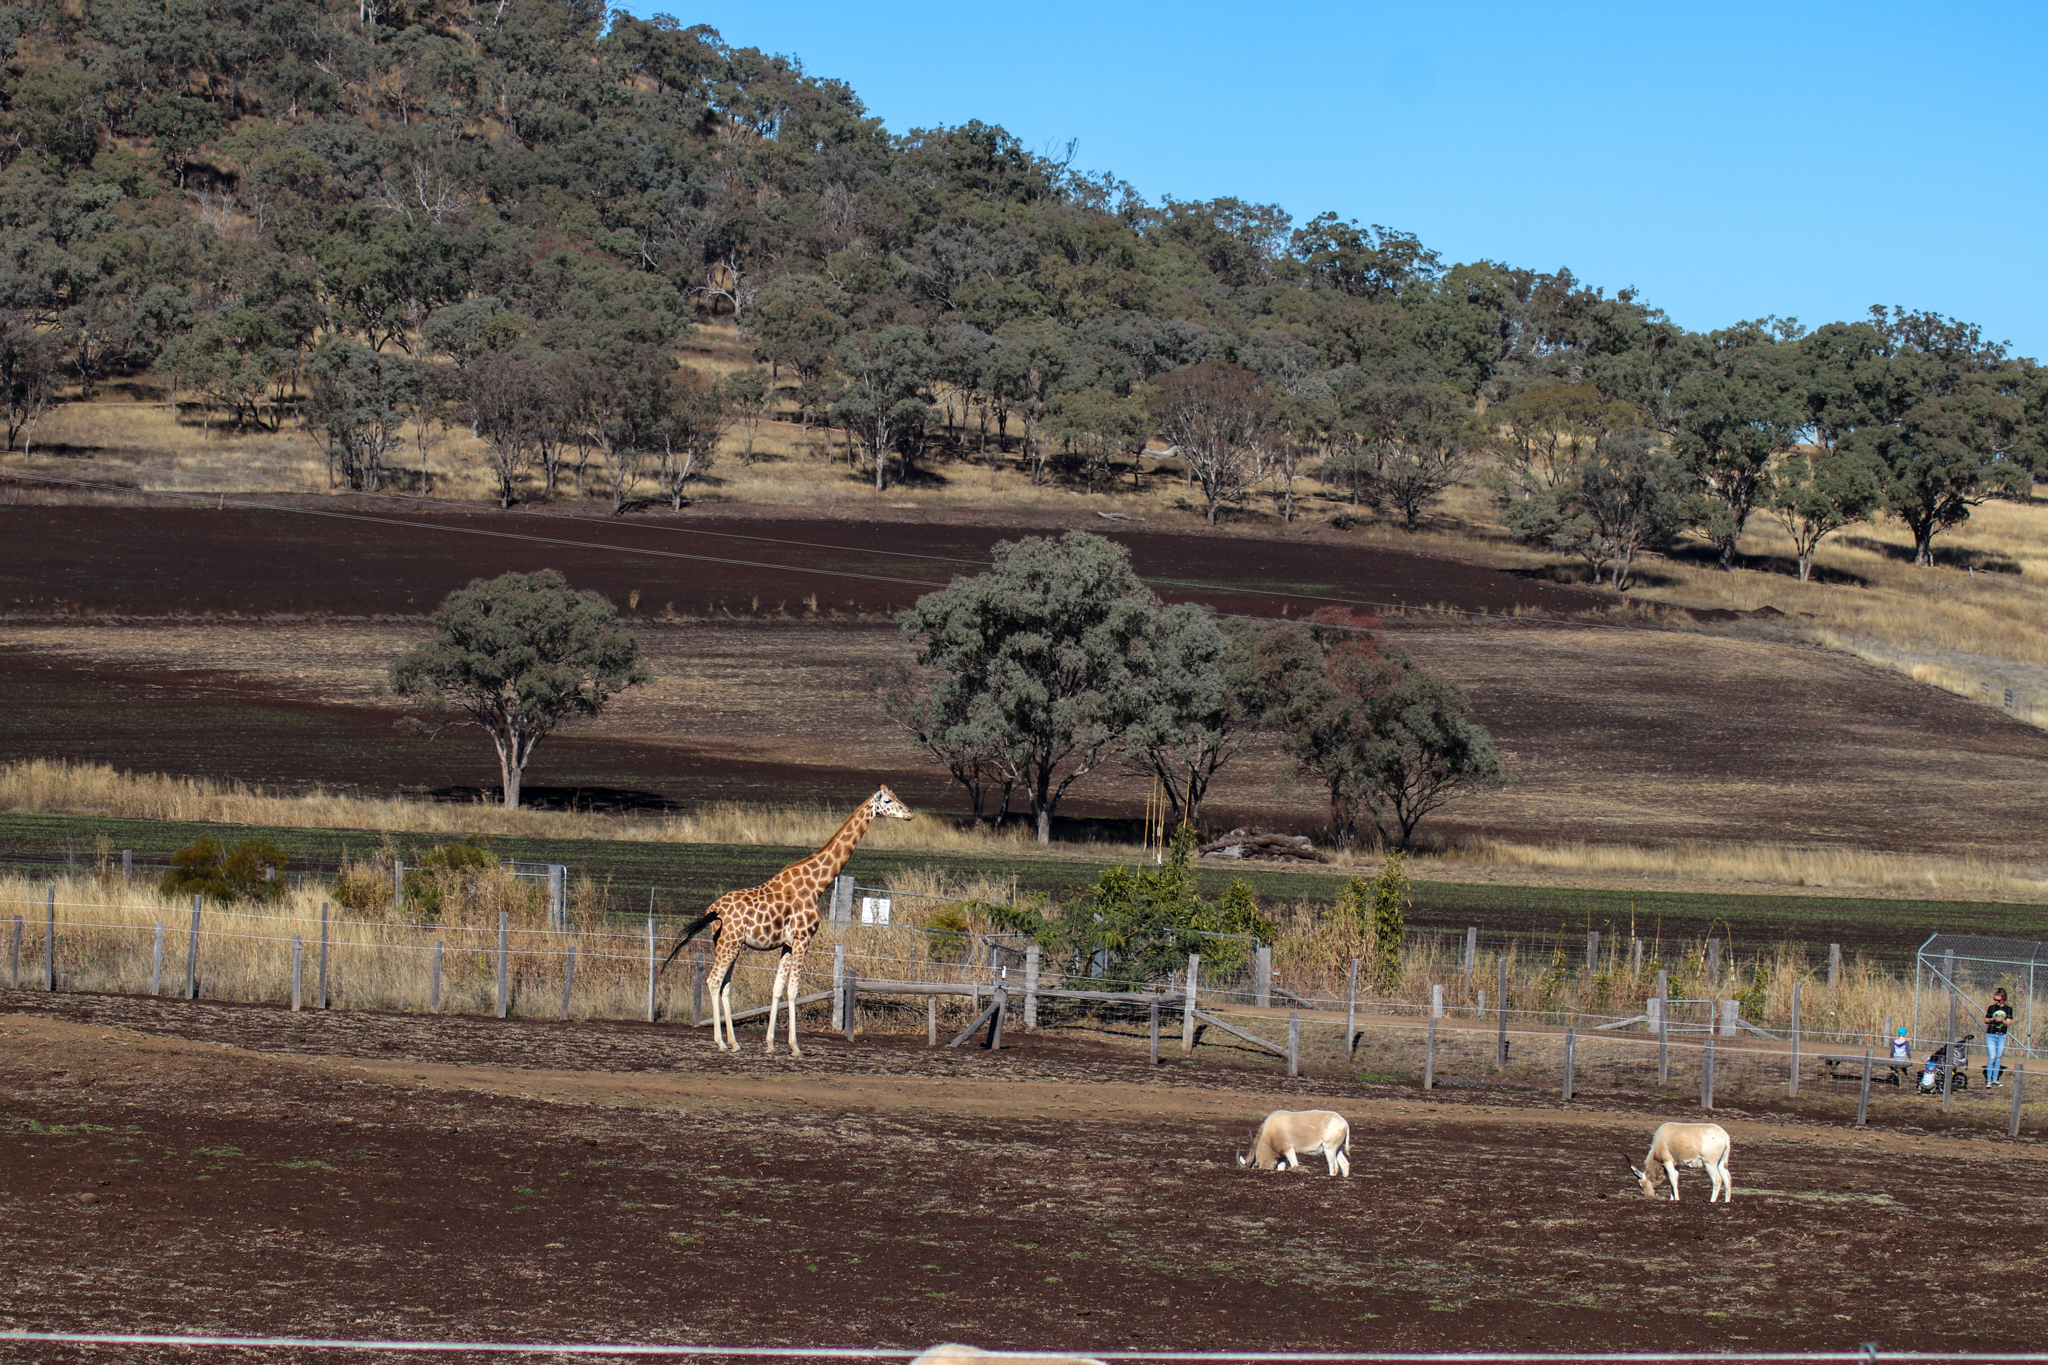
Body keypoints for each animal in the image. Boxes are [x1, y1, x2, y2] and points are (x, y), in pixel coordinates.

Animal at [668, 785, 914, 1056]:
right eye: (888, 801)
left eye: (898, 797)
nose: (910, 814)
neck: (817, 885)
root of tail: (713, 910)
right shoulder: (803, 938)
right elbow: (793, 990)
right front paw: (795, 1046)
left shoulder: (786, 944)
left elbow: (777, 989)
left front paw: (770, 1043)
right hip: (729, 944)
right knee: (713, 981)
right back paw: (721, 1042)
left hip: (727, 944)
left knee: (725, 985)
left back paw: (734, 1042)